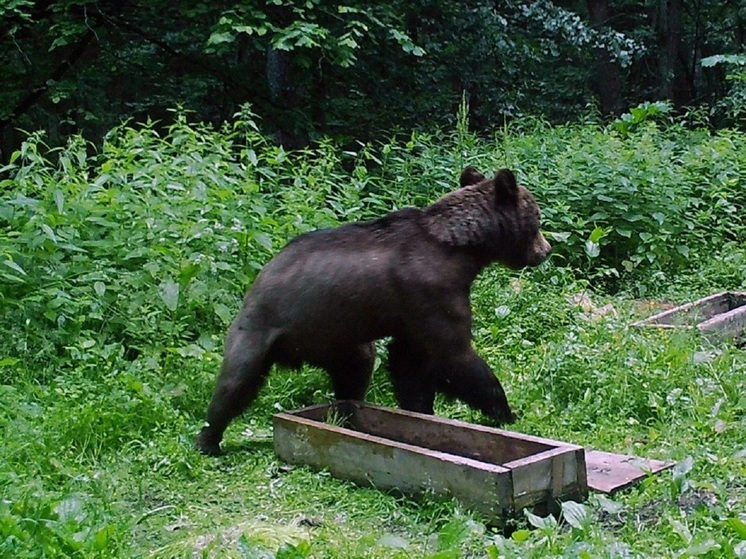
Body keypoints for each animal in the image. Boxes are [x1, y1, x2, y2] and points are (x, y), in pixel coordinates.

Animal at [195, 165, 548, 456]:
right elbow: (454, 355)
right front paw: (506, 410)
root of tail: (260, 277)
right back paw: (209, 439)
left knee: (357, 366)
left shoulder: (410, 314)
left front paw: (420, 410)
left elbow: (409, 363)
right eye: (537, 219)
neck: (462, 252)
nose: (545, 250)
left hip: (336, 336)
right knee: (235, 381)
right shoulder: (431, 291)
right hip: (265, 327)